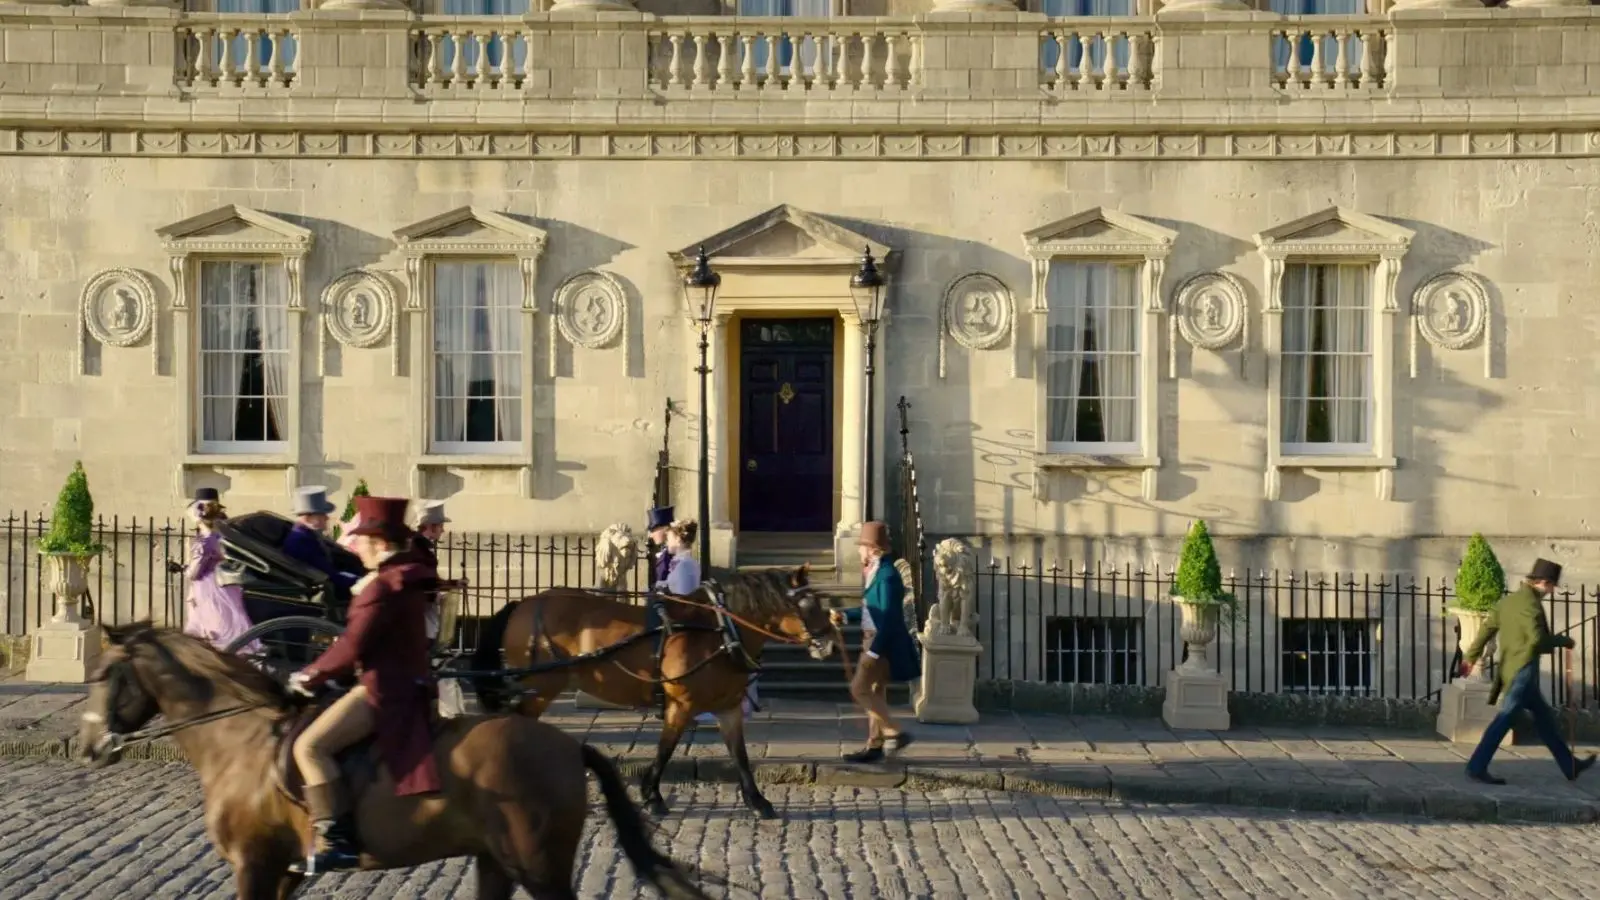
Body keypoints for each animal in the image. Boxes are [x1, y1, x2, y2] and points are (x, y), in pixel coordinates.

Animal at [76, 621, 713, 896]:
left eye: (104, 674)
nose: (89, 748)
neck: (241, 741)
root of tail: (566, 743)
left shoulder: (254, 866)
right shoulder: (282, 871)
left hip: (537, 865)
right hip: (497, 861)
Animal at [470, 563, 838, 816]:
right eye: (808, 605)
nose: (830, 642)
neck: (719, 629)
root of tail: (523, 603)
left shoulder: (729, 707)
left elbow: (741, 755)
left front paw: (757, 800)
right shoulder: (681, 704)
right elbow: (665, 749)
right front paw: (652, 795)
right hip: (540, 688)